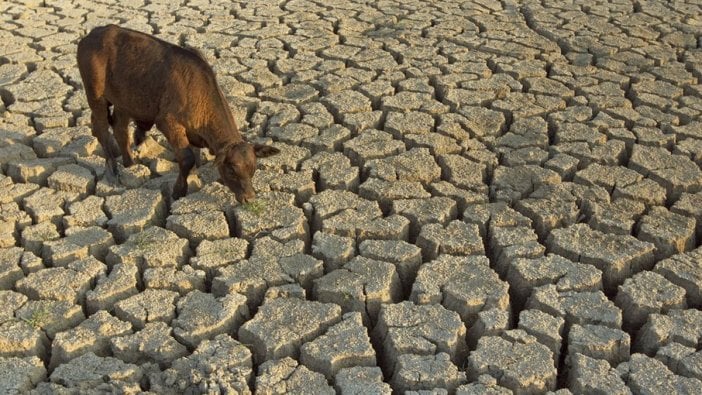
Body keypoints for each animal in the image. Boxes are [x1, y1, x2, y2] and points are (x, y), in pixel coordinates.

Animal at [75, 24, 278, 203]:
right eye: (231, 170)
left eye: (253, 168)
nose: (249, 198)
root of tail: (93, 34)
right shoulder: (168, 121)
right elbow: (187, 158)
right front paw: (179, 190)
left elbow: (195, 155)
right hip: (95, 94)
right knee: (101, 128)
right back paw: (113, 169)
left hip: (124, 99)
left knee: (120, 129)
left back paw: (129, 164)